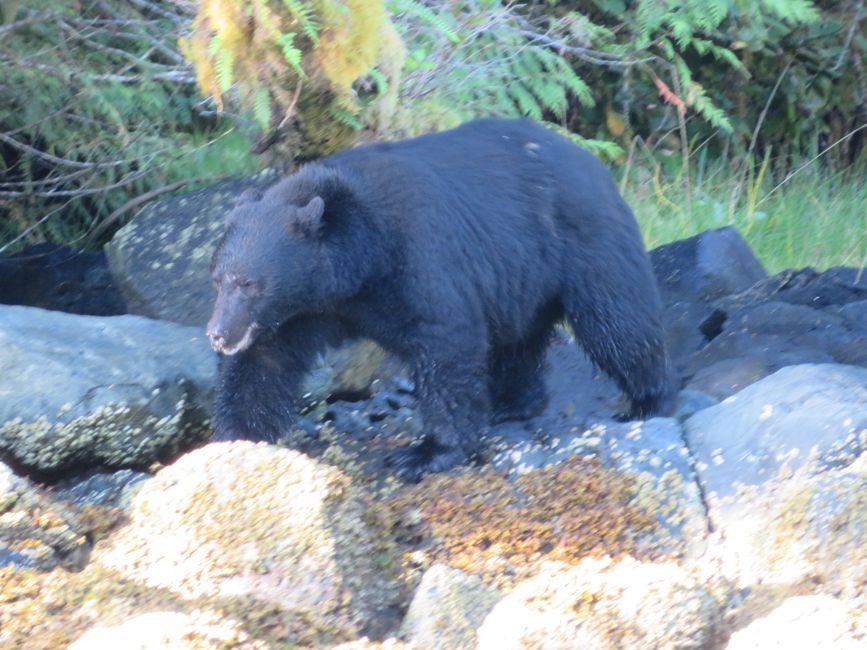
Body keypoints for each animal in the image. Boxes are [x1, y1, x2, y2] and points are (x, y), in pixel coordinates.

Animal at [207, 117, 676, 480]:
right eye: (219, 279)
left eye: (250, 283)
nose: (218, 333)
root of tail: (594, 163)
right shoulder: (301, 310)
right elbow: (263, 365)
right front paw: (231, 442)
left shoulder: (416, 257)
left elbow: (445, 342)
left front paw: (426, 452)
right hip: (522, 278)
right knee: (518, 342)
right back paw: (512, 403)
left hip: (584, 242)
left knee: (617, 321)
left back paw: (648, 400)